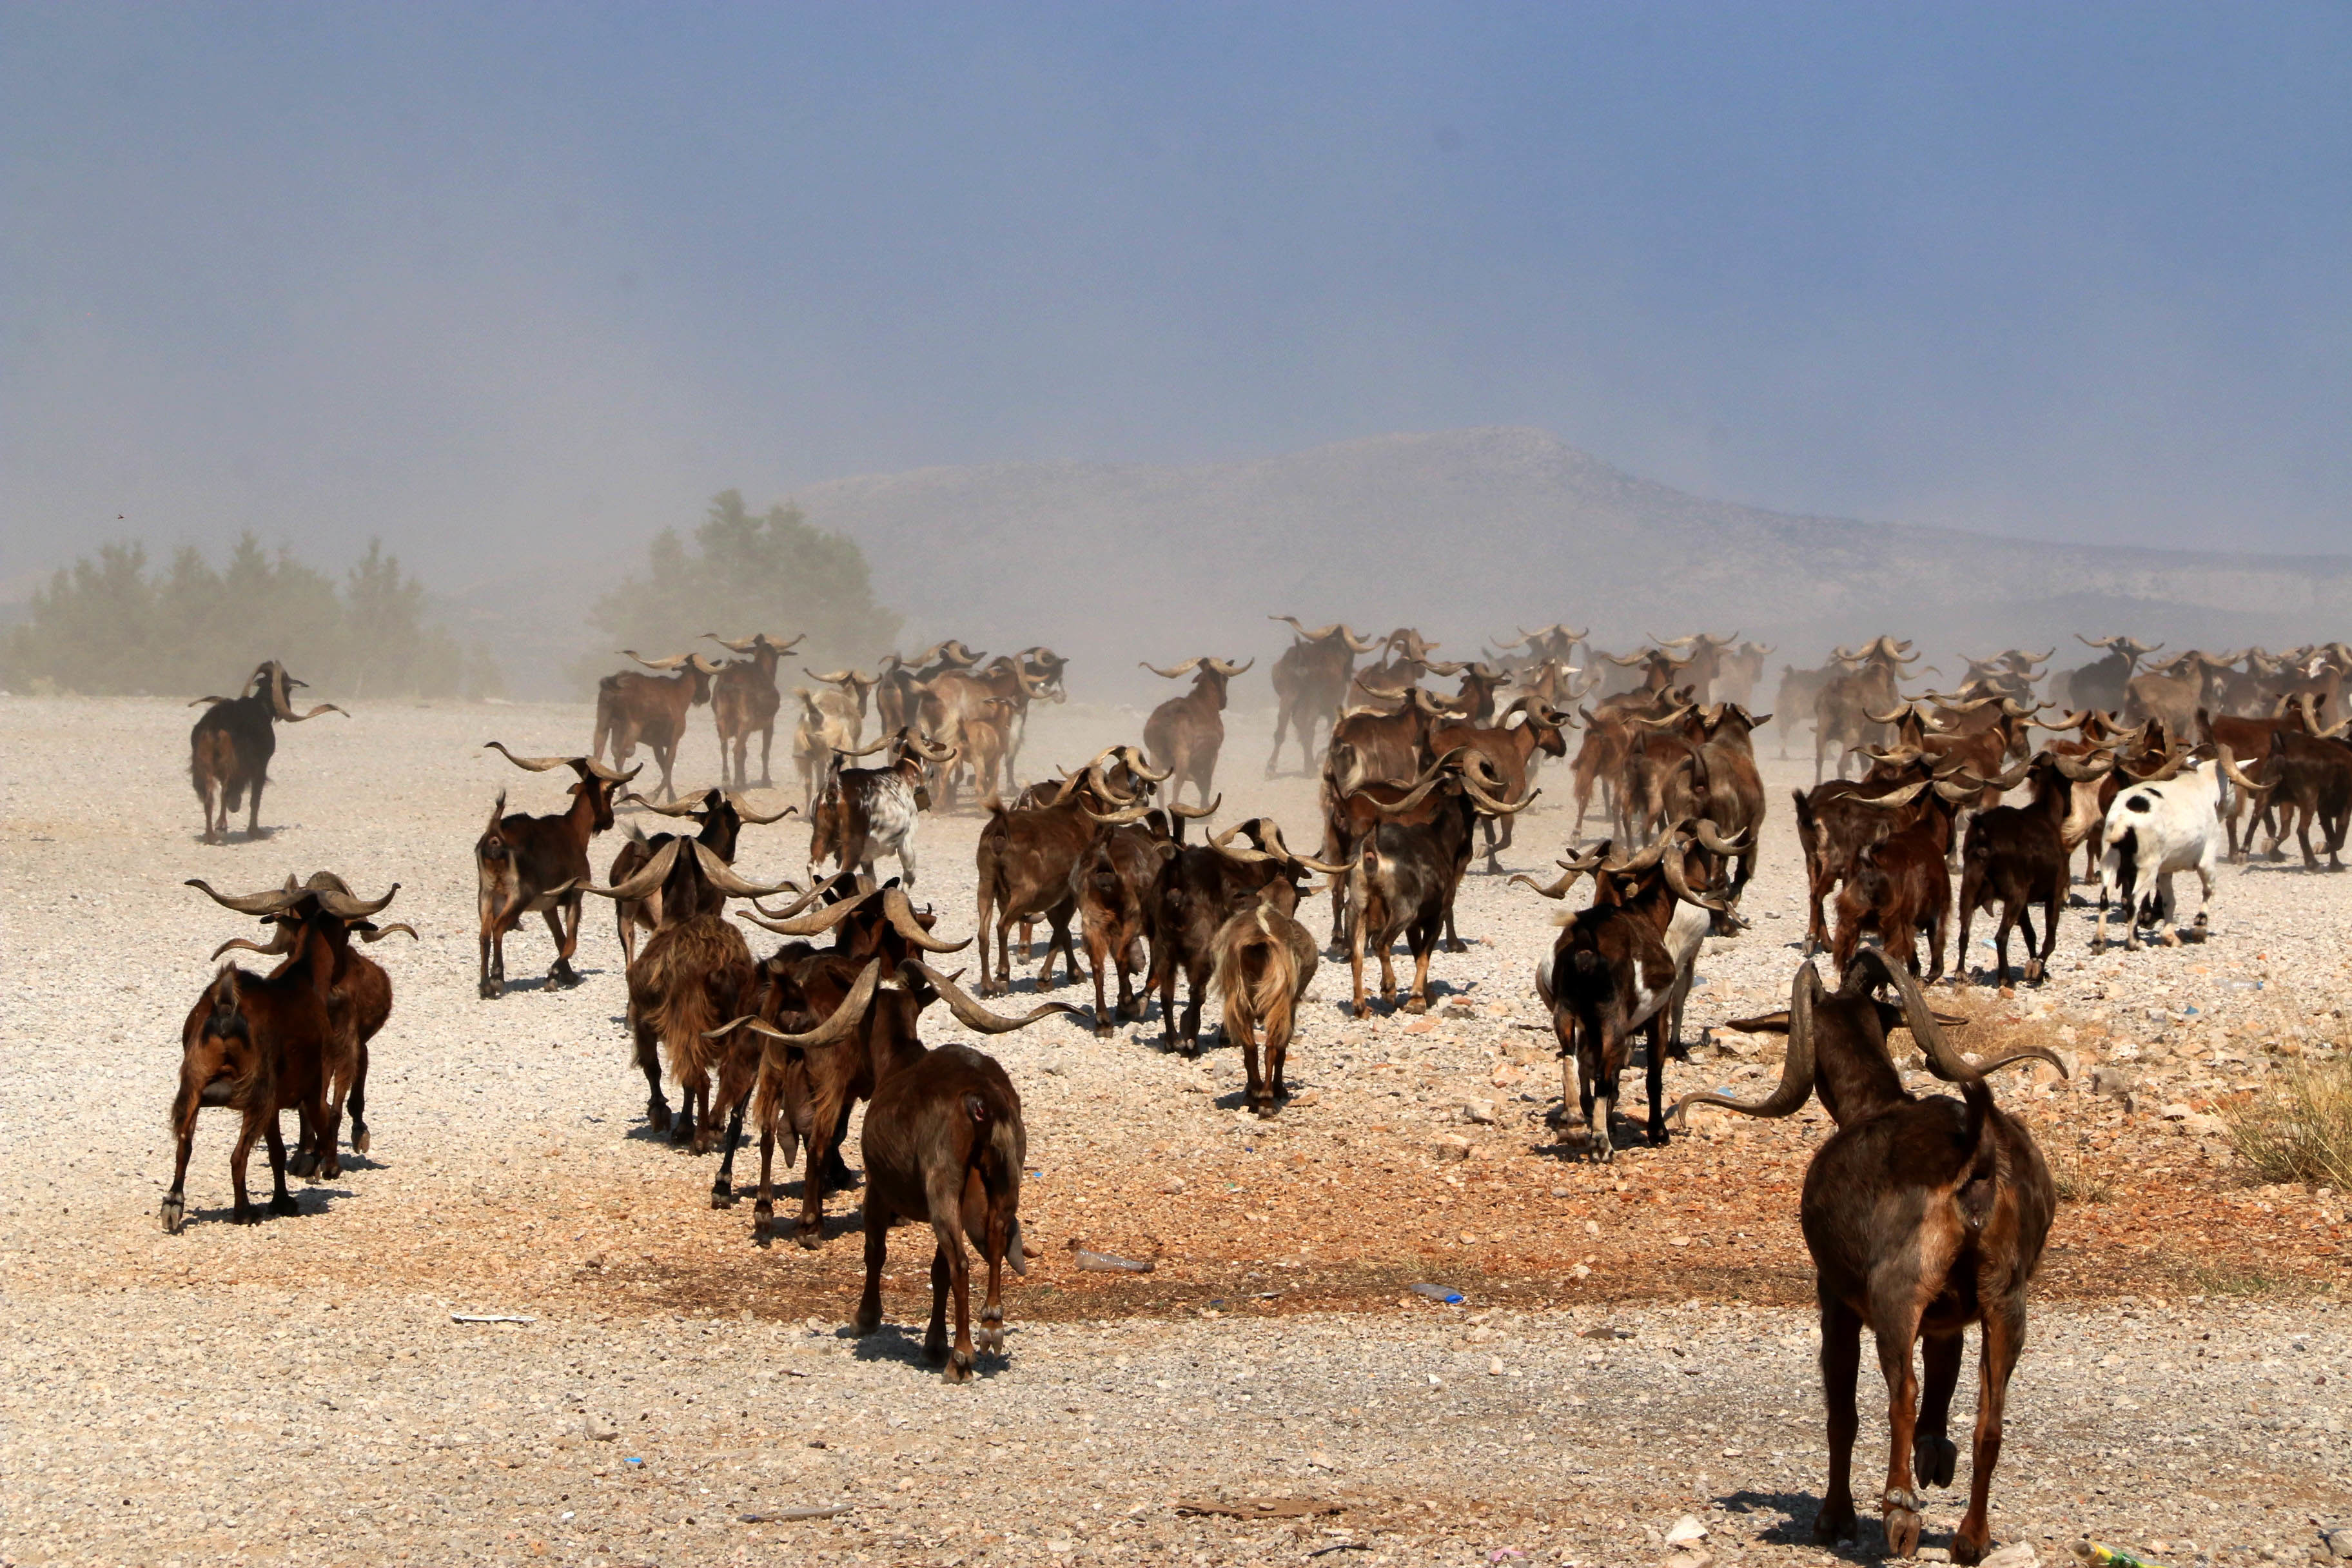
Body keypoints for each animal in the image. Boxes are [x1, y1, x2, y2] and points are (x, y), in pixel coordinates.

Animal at [473, 743, 640, 1001]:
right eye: (610, 793)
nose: (610, 820)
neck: (573, 830)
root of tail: (495, 836)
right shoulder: (576, 894)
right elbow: (571, 942)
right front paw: (553, 976)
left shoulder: (548, 906)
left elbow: (560, 938)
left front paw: (567, 975)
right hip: (519, 894)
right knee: (498, 927)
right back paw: (497, 978)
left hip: (487, 894)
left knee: (484, 935)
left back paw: (485, 986)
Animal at [1674, 950, 2060, 1561]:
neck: (1874, 1104)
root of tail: (1975, 1151)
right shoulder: (1951, 1317)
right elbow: (1946, 1372)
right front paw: (1935, 1455)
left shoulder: (1835, 1297)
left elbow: (1843, 1410)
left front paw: (1835, 1518)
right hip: (2007, 1298)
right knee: (1990, 1419)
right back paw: (1971, 1539)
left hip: (1897, 1293)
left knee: (1902, 1393)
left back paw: (1899, 1511)